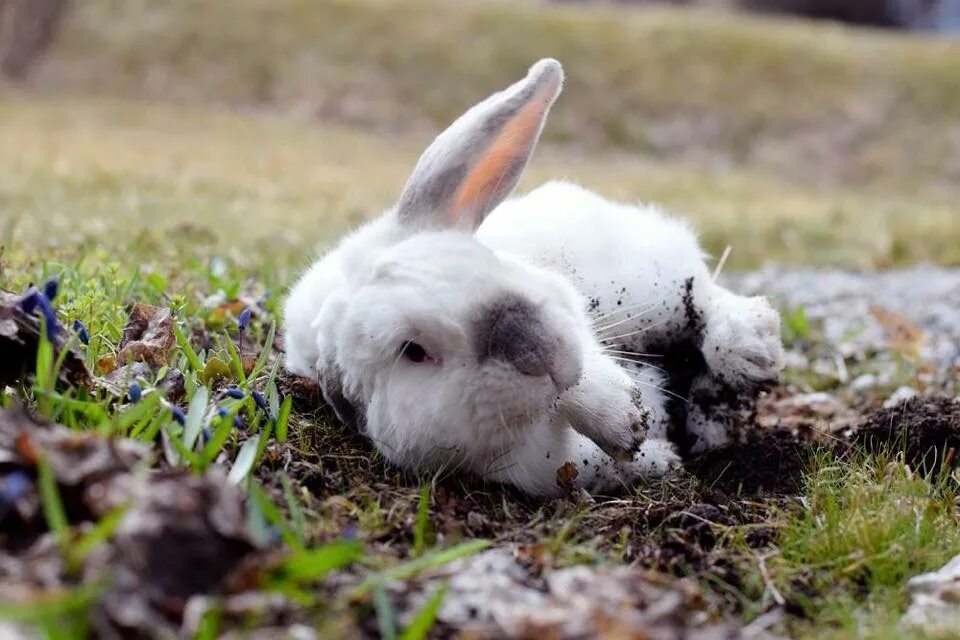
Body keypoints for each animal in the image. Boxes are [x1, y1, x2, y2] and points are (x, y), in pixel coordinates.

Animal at [284, 60, 780, 498]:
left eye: (482, 260)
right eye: (413, 351)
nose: (536, 348)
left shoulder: (572, 315)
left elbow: (586, 376)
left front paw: (626, 419)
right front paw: (649, 448)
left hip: (653, 288)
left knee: (706, 298)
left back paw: (751, 348)